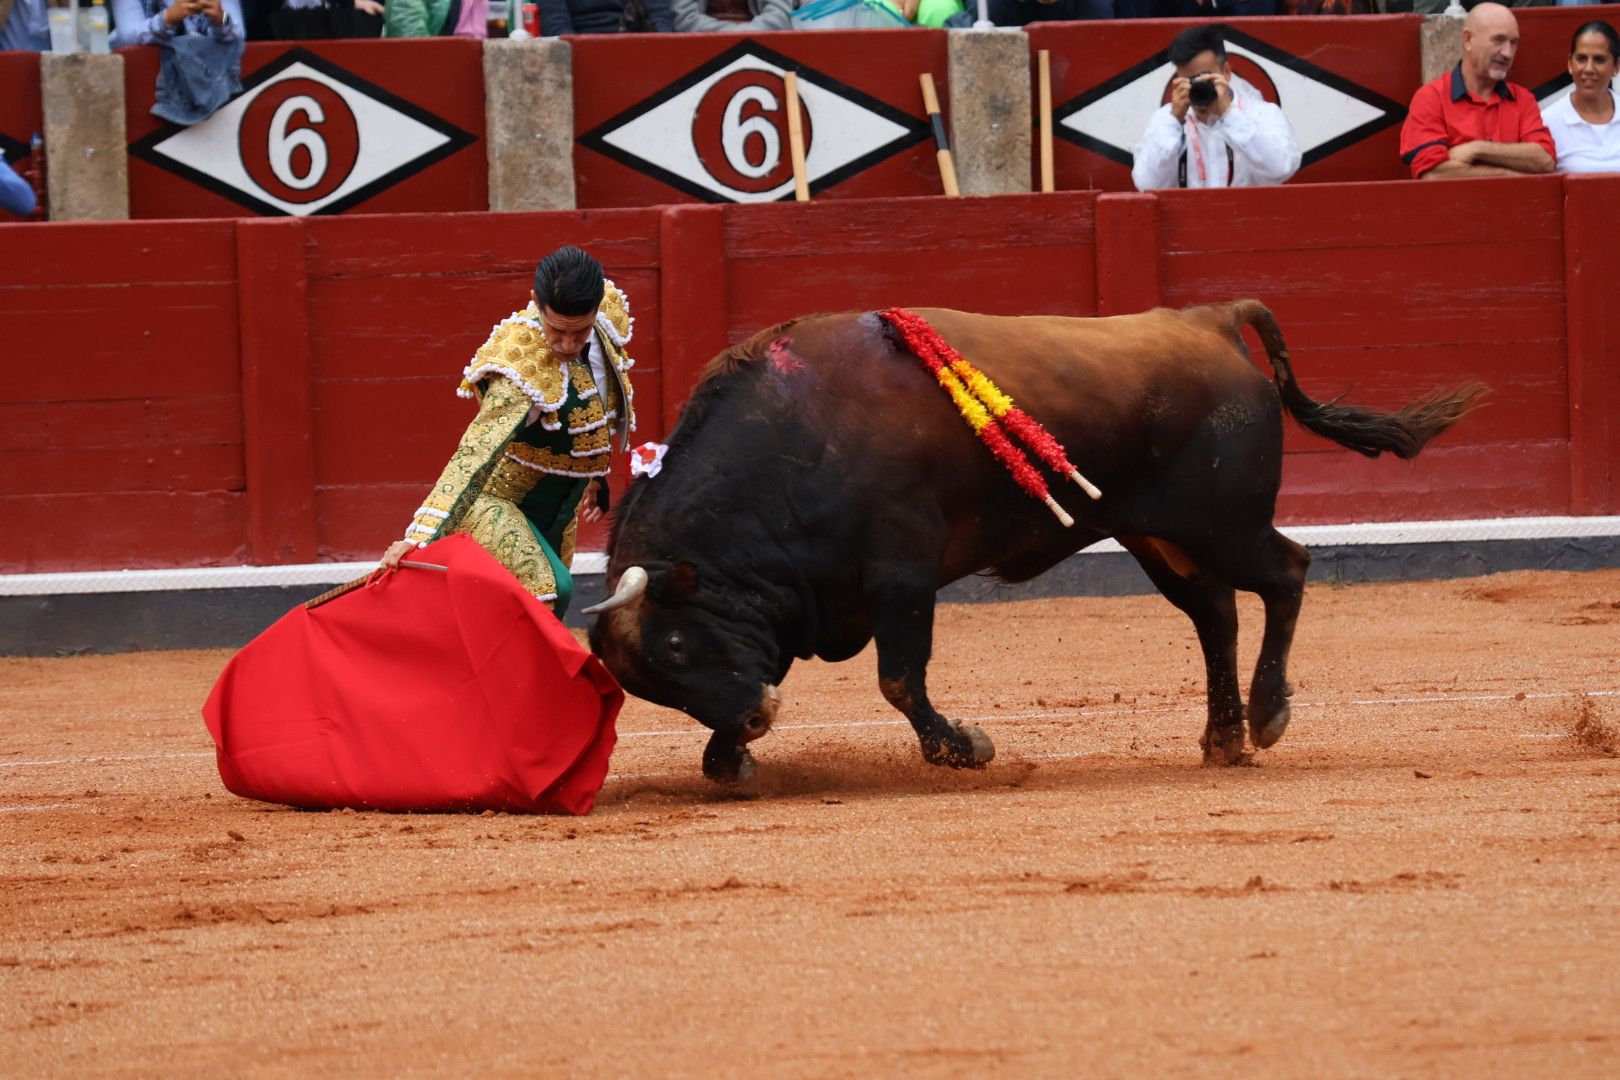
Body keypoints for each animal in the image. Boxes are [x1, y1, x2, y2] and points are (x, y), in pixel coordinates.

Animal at [586, 304, 1483, 786]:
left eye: (675, 641)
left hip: (1221, 525)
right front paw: (726, 755)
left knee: (1286, 572)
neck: (792, 444)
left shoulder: (901, 572)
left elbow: (899, 678)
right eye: (655, 682)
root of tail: (1208, 319)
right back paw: (1222, 737)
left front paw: (964, 748)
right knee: (1216, 616)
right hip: (1158, 537)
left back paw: (1265, 717)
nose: (757, 717)